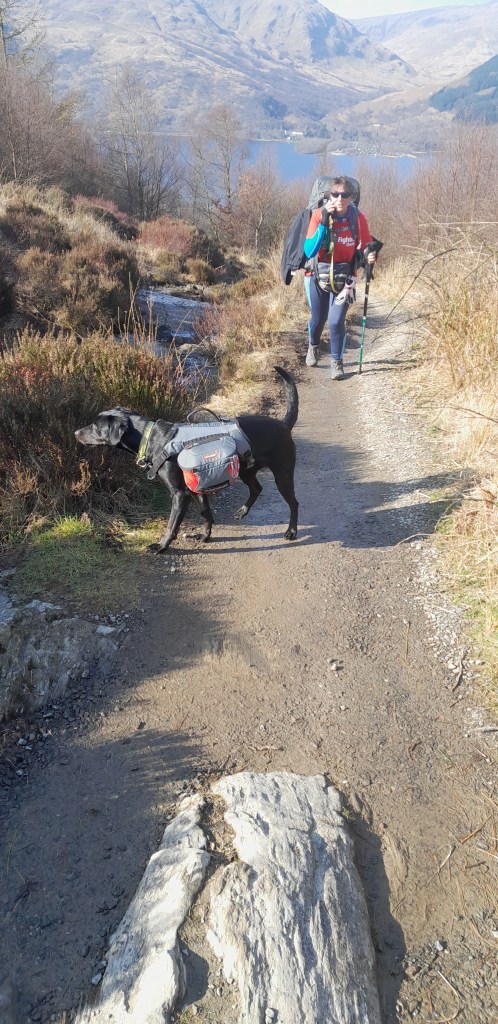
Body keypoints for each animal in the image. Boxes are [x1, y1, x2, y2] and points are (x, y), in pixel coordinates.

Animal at [75, 366, 298, 551]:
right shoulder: (196, 489)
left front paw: (161, 546)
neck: (153, 439)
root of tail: (283, 424)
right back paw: (243, 511)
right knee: (256, 488)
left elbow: (171, 525)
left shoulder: (180, 494)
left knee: (293, 503)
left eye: (96, 426)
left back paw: (291, 531)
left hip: (283, 475)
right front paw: (205, 536)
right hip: (246, 470)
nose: (76, 432)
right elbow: (206, 515)